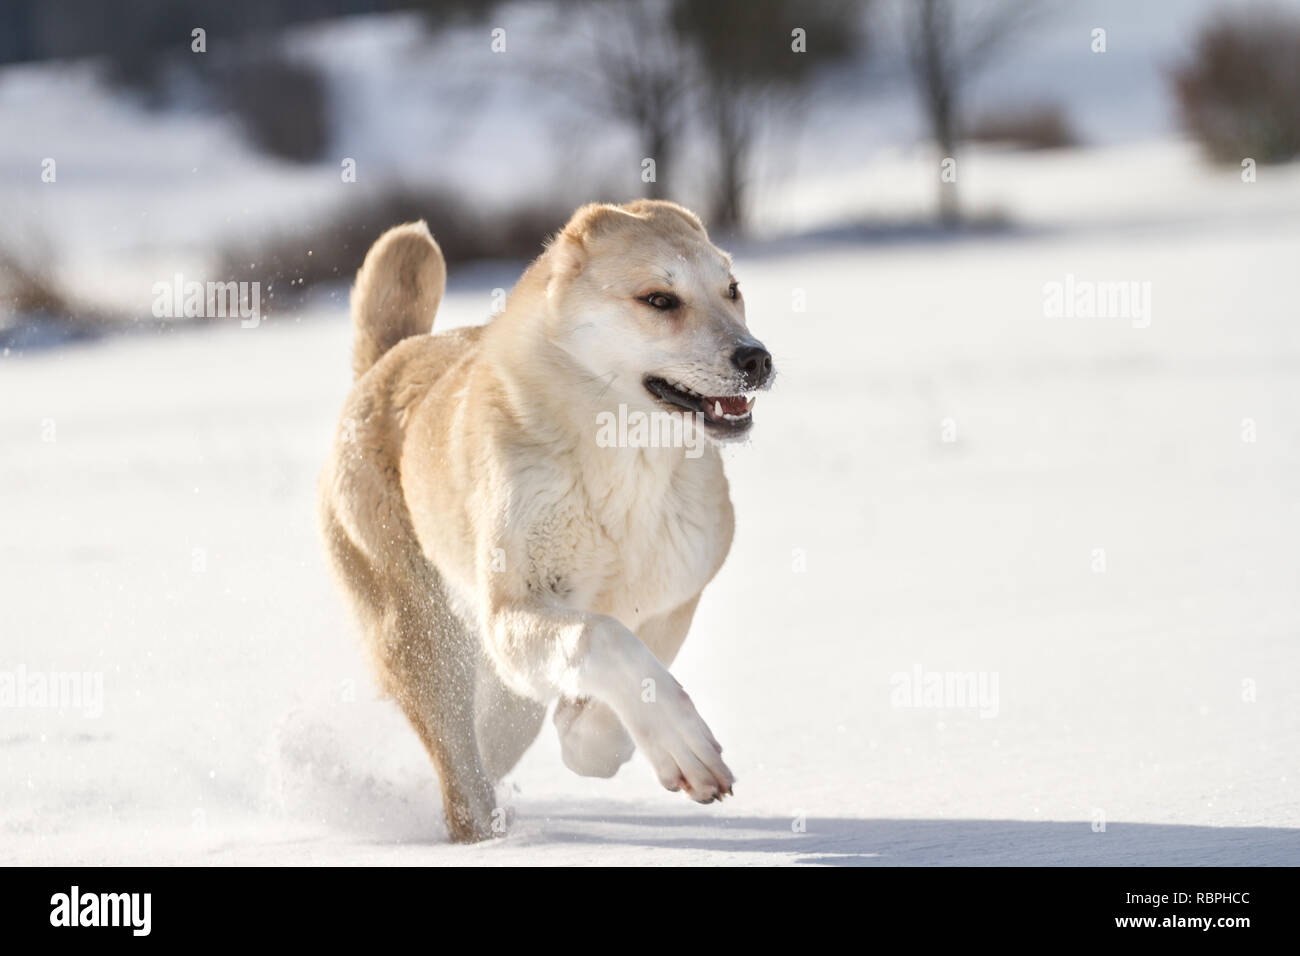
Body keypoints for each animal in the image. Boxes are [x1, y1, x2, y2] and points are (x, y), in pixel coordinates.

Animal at [321, 197, 774, 842]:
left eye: (731, 290)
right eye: (660, 299)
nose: (755, 358)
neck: (624, 461)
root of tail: (385, 361)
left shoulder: (674, 599)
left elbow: (615, 700)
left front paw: (594, 735)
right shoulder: (512, 614)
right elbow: (599, 636)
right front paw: (682, 746)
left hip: (500, 696)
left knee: (492, 744)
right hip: (423, 644)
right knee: (463, 783)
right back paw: (485, 836)